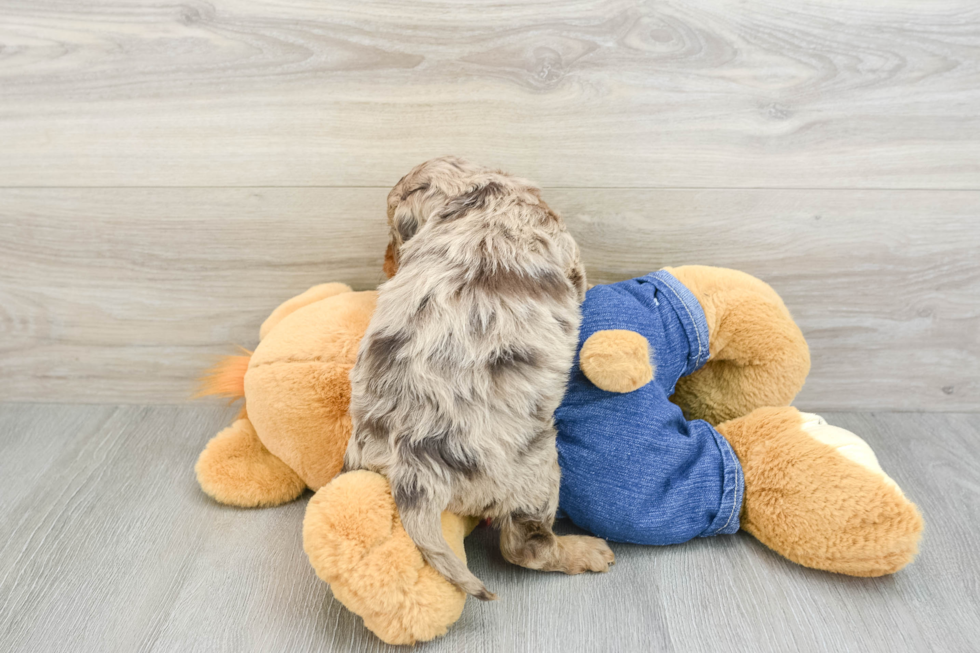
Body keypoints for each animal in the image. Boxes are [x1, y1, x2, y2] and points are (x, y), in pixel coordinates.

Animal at [344, 155, 612, 600]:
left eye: (394, 235)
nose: (385, 265)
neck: (479, 195)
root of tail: (411, 469)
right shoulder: (566, 251)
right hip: (536, 473)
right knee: (524, 546)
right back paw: (583, 551)